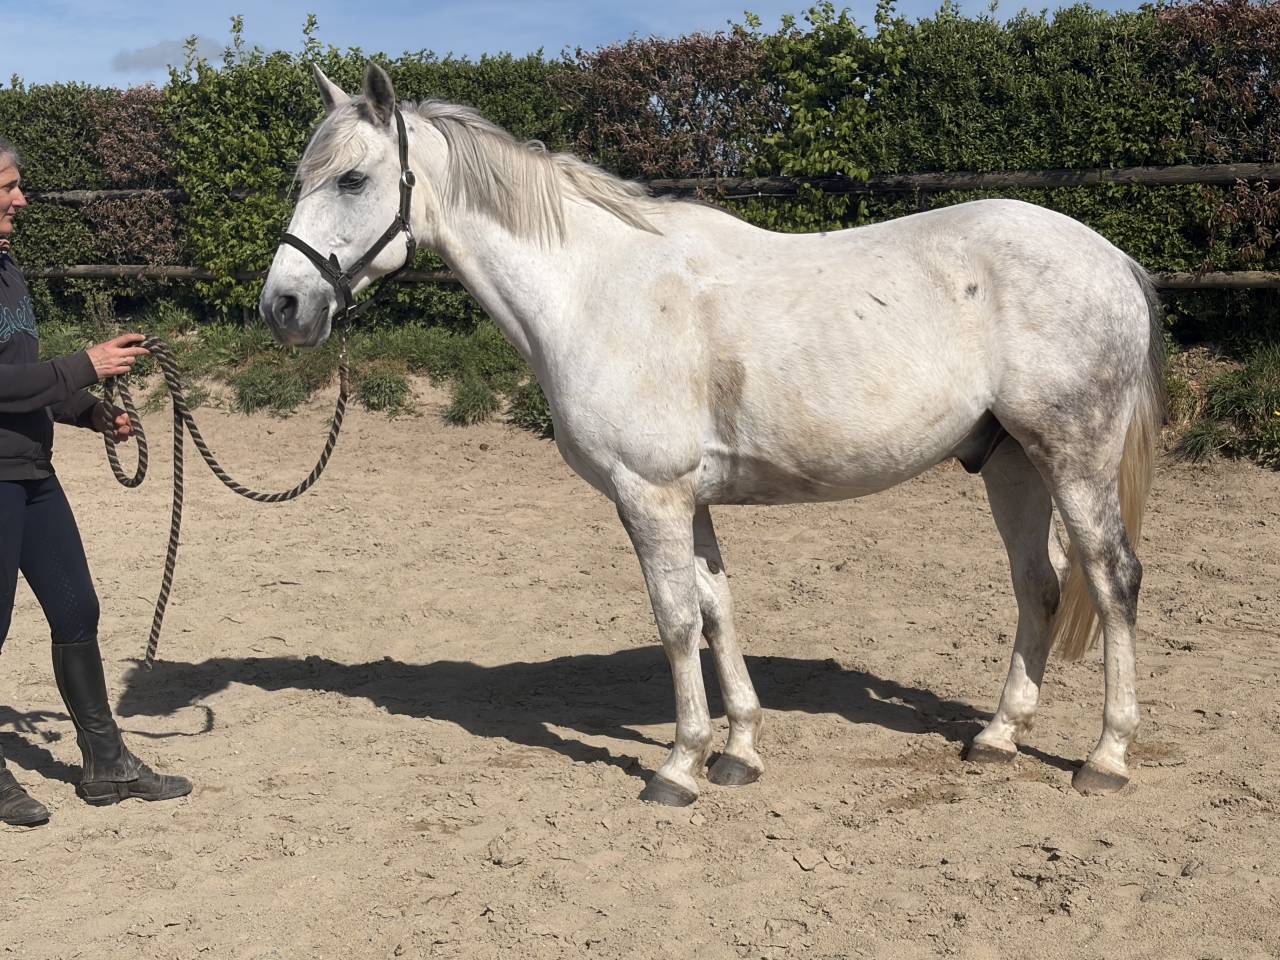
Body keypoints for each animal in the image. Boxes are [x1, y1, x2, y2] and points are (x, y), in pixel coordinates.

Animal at [260, 63, 1163, 806]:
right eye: (306, 176)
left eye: (353, 178)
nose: (283, 307)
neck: (596, 288)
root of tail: (1112, 259)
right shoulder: (688, 499)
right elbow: (717, 609)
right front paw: (739, 752)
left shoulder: (648, 493)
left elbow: (675, 621)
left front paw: (680, 766)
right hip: (1011, 462)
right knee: (1039, 585)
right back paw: (999, 737)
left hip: (1073, 457)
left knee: (1111, 577)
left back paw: (1106, 757)